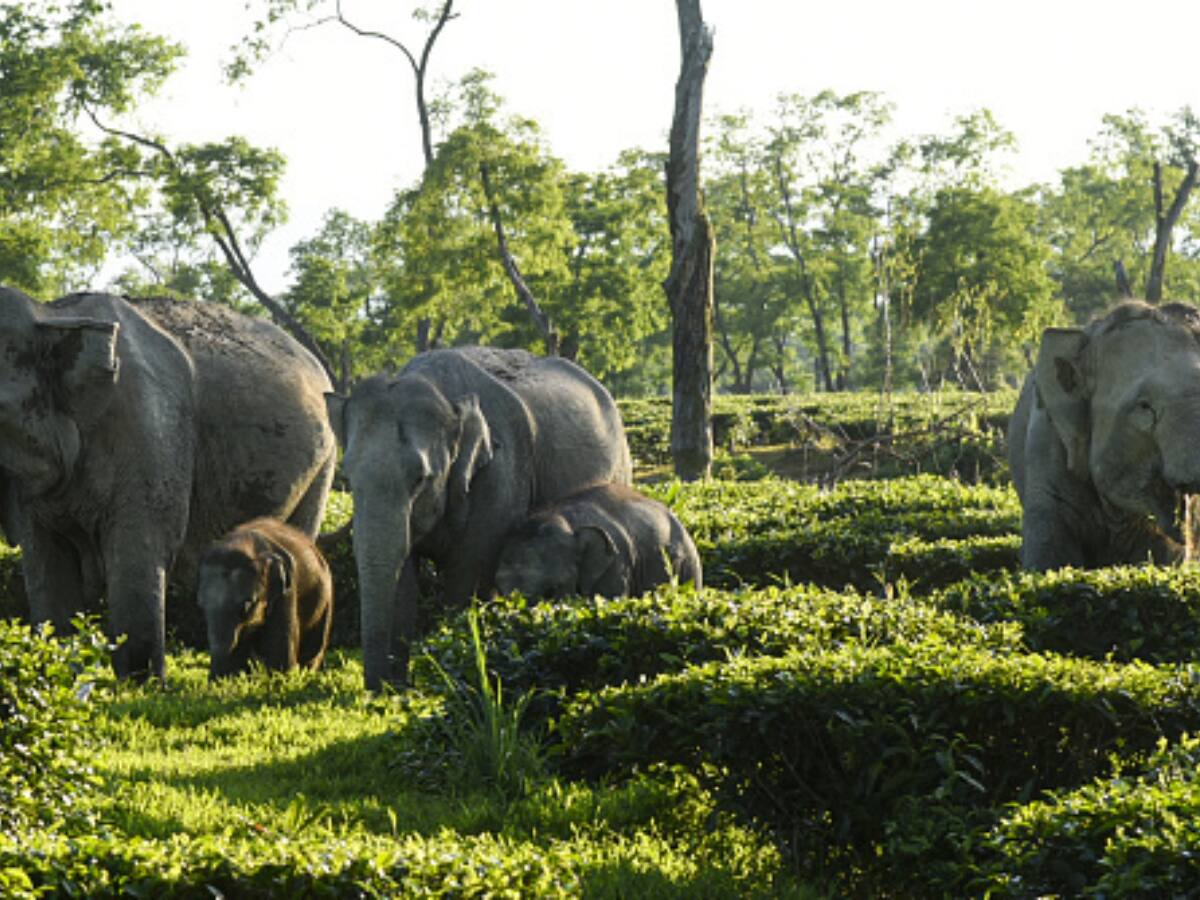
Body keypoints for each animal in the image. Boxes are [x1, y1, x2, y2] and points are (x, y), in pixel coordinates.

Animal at [197, 517, 334, 678]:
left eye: (247, 605)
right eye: (202, 605)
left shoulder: (287, 589)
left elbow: (280, 651)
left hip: (326, 596)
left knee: (313, 649)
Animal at [325, 346, 633, 690]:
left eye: (420, 479)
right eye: (348, 479)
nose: (377, 689)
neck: (440, 391)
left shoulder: (500, 476)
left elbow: (466, 574)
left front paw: (452, 674)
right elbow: (402, 580)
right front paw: (398, 690)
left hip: (620, 468)